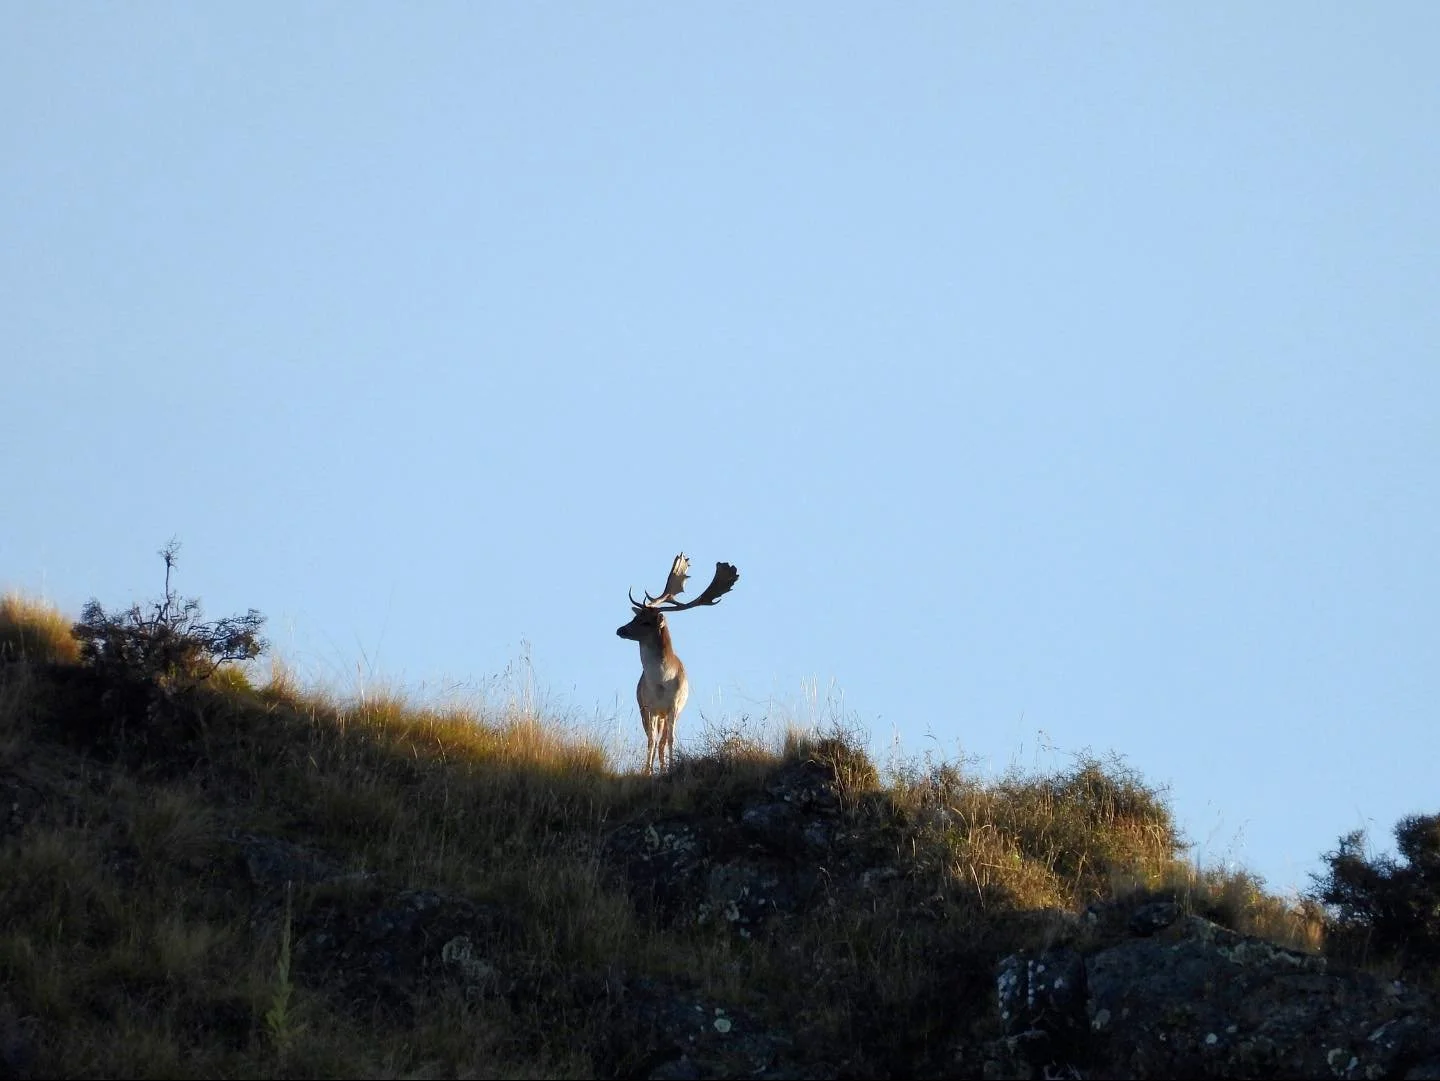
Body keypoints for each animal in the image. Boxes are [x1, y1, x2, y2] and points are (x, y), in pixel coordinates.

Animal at [616, 553, 739, 774]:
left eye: (645, 621)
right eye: (635, 616)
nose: (620, 630)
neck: (660, 682)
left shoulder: (674, 706)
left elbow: (670, 740)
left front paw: (671, 767)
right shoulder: (648, 706)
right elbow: (651, 741)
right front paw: (647, 771)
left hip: (672, 713)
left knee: (664, 740)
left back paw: (665, 767)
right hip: (647, 710)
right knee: (655, 739)